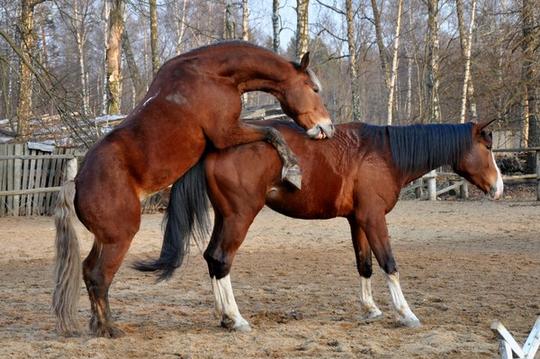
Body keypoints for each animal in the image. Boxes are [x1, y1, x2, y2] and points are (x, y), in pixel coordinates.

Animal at [52, 40, 336, 338]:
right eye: (314, 89)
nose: (327, 128)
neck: (211, 74)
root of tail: (76, 183)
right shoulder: (227, 133)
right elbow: (272, 132)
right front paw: (293, 170)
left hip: (103, 239)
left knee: (87, 271)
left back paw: (97, 325)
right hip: (119, 239)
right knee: (99, 276)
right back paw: (109, 328)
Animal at [141, 118, 504, 332]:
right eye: (487, 147)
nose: (499, 187)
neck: (384, 154)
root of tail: (216, 145)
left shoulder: (358, 220)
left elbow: (364, 264)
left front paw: (371, 309)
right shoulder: (374, 218)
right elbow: (389, 263)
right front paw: (406, 313)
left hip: (226, 215)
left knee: (211, 259)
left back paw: (224, 316)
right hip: (240, 216)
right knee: (221, 259)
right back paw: (236, 318)